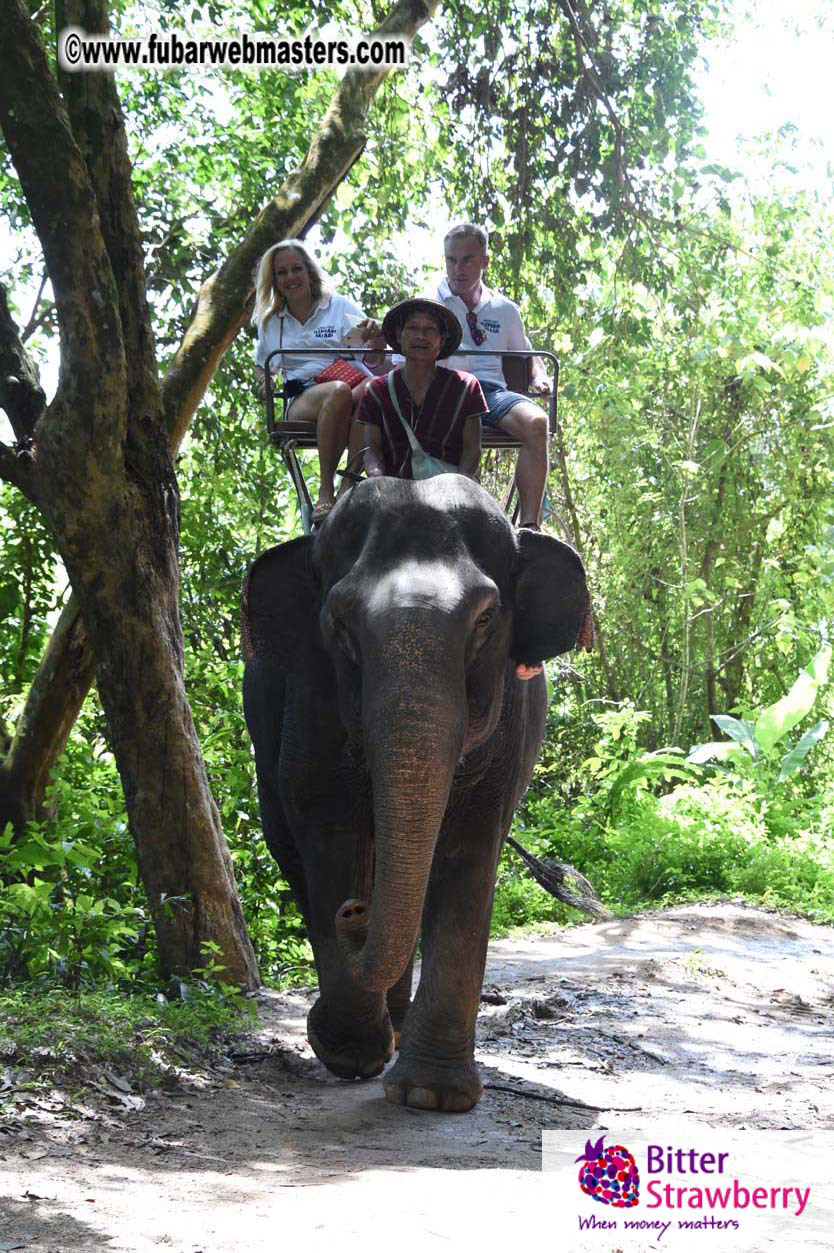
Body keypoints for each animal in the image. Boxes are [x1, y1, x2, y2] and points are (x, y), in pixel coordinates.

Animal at [241, 474, 592, 1112]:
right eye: (340, 623)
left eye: (485, 619)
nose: (355, 912)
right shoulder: (309, 706)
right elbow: (330, 834)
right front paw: (352, 1053)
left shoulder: (511, 728)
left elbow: (468, 851)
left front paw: (431, 1095)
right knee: (290, 843)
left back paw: (399, 1030)